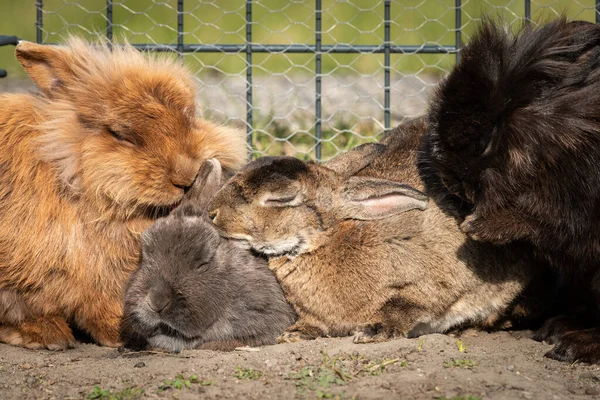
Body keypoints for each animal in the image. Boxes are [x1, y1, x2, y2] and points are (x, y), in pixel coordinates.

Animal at [207, 117, 548, 342]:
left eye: (281, 199)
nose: (212, 213)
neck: (329, 238)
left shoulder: (438, 279)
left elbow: (406, 304)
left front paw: (373, 330)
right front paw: (297, 332)